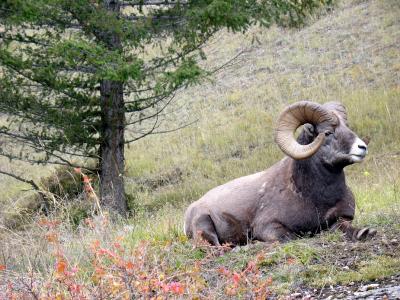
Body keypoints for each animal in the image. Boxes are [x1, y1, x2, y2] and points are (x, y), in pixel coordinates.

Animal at [184, 101, 376, 246]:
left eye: (347, 126)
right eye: (328, 132)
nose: (362, 147)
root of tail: (192, 208)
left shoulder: (343, 217)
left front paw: (365, 232)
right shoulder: (268, 227)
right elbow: (290, 237)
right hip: (204, 226)